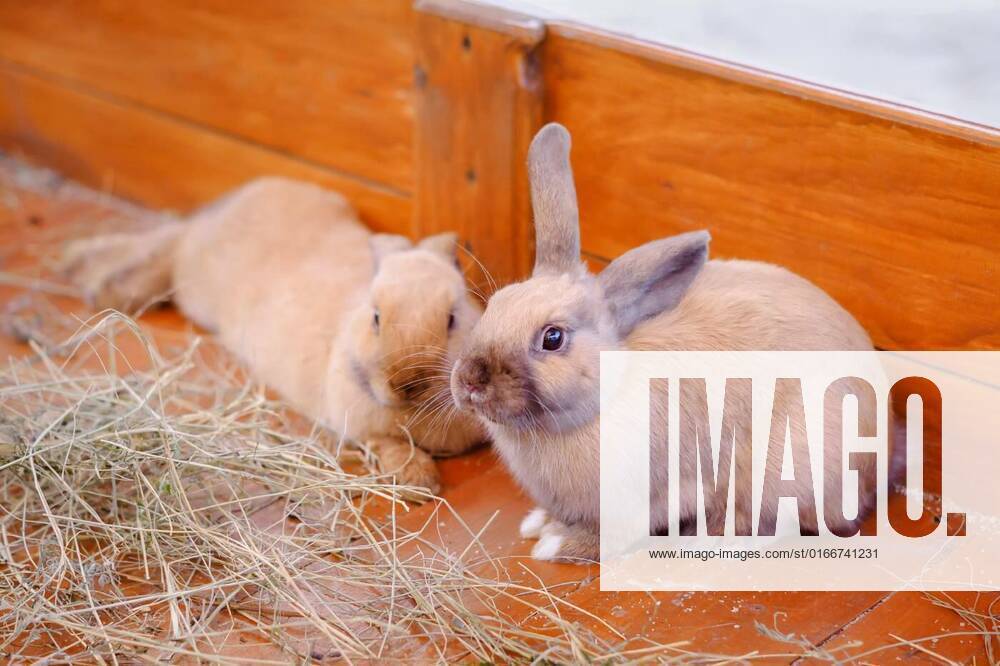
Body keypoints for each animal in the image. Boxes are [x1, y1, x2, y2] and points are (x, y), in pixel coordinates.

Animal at [62, 177, 486, 496]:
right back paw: (99, 285)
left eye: (453, 318)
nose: (406, 383)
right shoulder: (360, 427)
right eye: (376, 317)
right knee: (169, 246)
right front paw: (420, 483)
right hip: (193, 274)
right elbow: (391, 446)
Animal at [451, 124, 888, 563]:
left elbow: (610, 536)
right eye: (495, 304)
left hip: (788, 469)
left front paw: (555, 543)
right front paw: (538, 522)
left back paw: (716, 540)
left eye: (553, 337)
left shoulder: (650, 499)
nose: (469, 380)